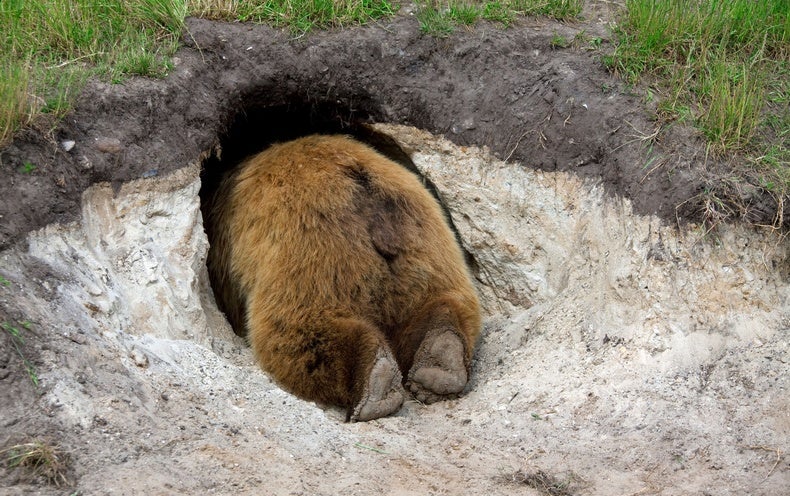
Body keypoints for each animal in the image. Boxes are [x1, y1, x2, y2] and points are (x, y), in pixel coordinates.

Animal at [205, 134, 481, 421]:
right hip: (426, 250)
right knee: (441, 301)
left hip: (313, 251)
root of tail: (367, 195)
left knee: (297, 330)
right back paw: (440, 360)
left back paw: (376, 382)